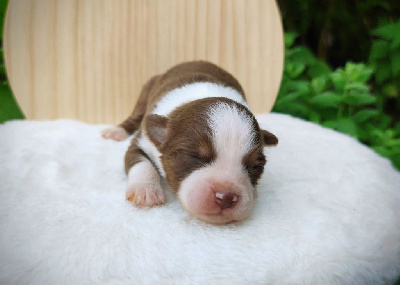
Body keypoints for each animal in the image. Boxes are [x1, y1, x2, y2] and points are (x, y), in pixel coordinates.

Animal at [102, 60, 278, 224]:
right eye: (194, 156)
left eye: (255, 167)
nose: (226, 197)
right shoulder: (142, 141)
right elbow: (141, 163)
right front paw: (145, 191)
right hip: (145, 92)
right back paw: (115, 132)